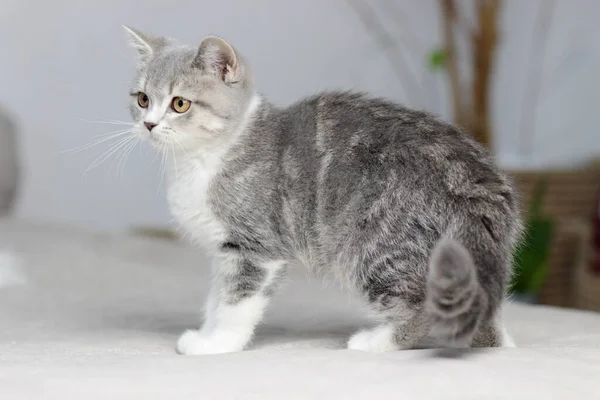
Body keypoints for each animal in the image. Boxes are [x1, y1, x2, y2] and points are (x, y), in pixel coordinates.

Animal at [122, 26, 520, 354]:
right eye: (142, 99)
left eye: (180, 103)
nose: (149, 124)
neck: (202, 160)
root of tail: (476, 181)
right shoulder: (224, 251)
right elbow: (216, 297)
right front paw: (206, 331)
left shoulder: (256, 247)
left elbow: (236, 302)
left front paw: (217, 344)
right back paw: (498, 340)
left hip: (375, 247)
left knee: (422, 303)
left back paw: (376, 342)